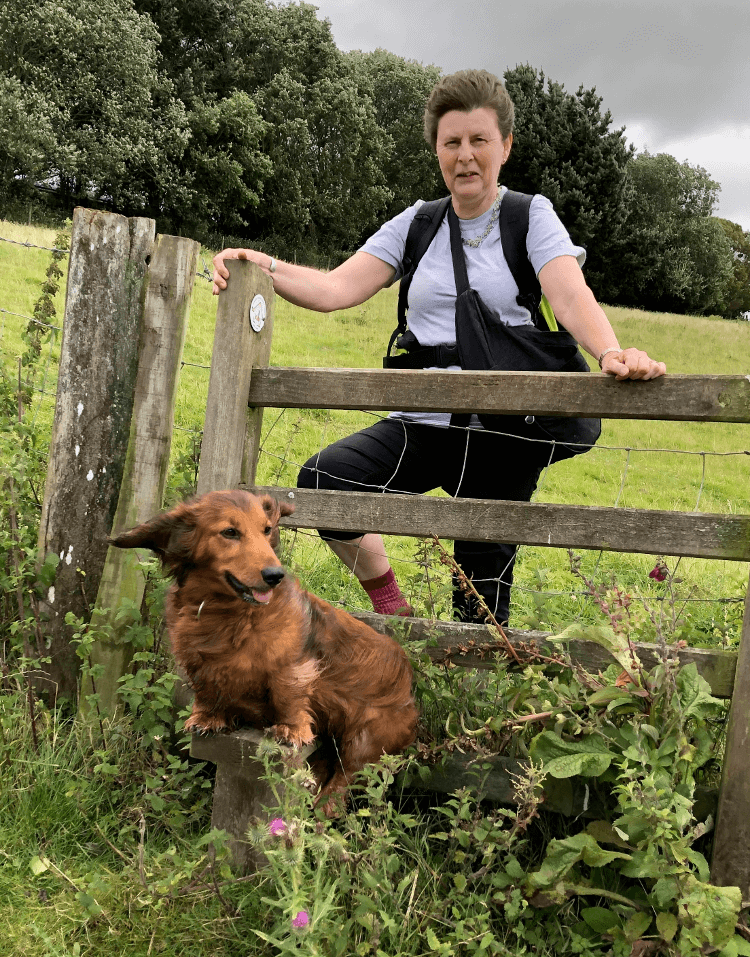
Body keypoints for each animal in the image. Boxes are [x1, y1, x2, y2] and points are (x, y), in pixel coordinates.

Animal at [109, 490, 420, 812]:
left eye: (267, 529)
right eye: (230, 532)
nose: (275, 575)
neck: (228, 614)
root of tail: (409, 686)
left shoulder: (292, 667)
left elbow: (287, 694)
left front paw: (291, 729)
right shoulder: (198, 662)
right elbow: (206, 689)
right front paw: (209, 717)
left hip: (365, 740)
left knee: (343, 782)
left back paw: (322, 809)